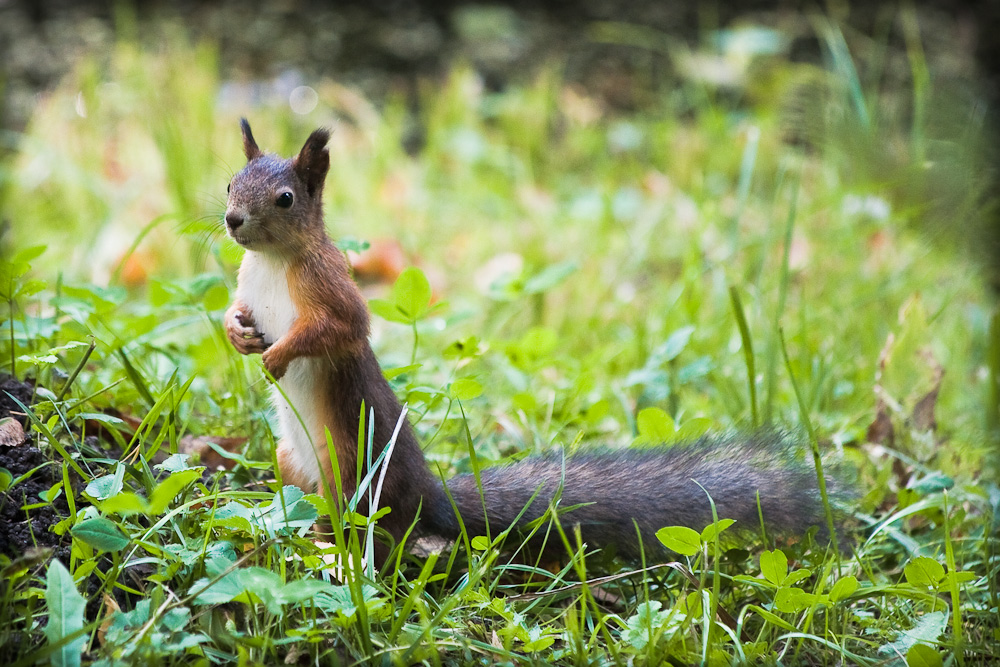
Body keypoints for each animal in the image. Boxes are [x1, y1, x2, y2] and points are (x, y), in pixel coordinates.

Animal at [221, 120, 836, 560]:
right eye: (229, 182)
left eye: (284, 199)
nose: (231, 219)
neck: (274, 262)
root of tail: (427, 495)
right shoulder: (249, 287)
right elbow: (238, 311)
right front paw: (237, 333)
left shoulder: (332, 289)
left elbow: (337, 329)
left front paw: (279, 354)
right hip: (292, 462)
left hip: (353, 469)